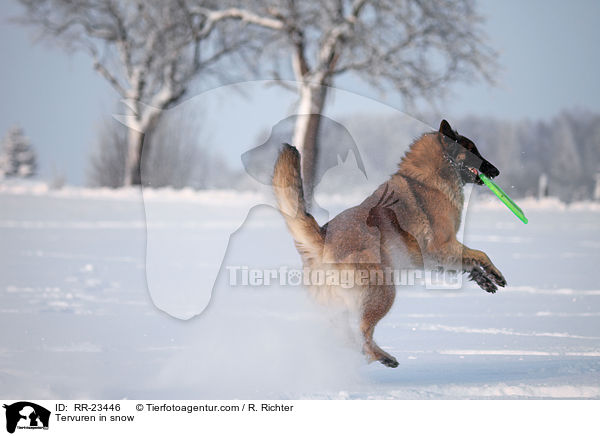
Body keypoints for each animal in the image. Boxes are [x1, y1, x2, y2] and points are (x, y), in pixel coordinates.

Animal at [272, 119, 506, 368]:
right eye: (472, 150)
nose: (496, 172)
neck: (428, 178)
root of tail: (322, 238)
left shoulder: (437, 258)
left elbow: (470, 262)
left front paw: (485, 280)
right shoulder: (442, 246)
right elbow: (481, 253)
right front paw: (495, 273)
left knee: (347, 335)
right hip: (383, 291)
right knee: (362, 333)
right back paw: (382, 356)